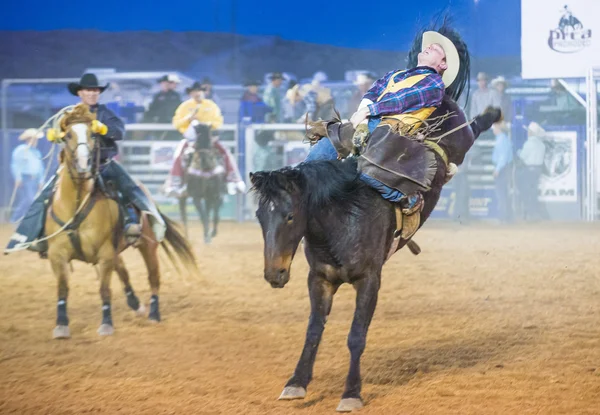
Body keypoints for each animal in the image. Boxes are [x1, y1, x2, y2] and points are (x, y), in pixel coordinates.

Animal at [47, 103, 197, 338]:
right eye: (68, 134)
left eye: (92, 134)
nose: (84, 164)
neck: (77, 202)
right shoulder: (57, 254)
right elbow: (62, 288)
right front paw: (61, 324)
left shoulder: (104, 254)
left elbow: (104, 289)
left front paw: (106, 323)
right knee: (124, 271)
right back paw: (136, 303)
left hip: (148, 247)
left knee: (153, 278)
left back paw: (154, 313)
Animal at [250, 101, 502, 412]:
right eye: (260, 216)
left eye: (290, 216)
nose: (274, 274)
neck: (343, 216)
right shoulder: (319, 279)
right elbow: (313, 331)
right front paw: (296, 383)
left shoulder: (370, 280)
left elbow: (356, 336)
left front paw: (351, 394)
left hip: (462, 137)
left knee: (474, 127)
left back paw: (492, 113)